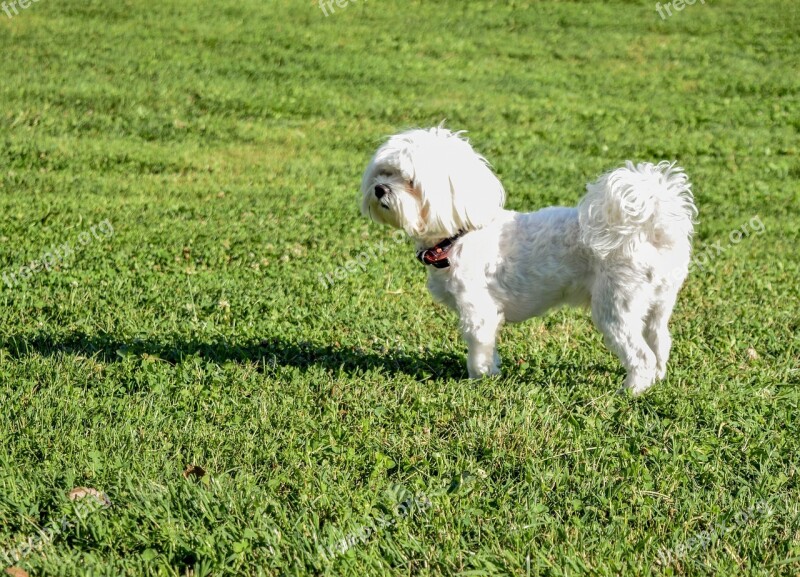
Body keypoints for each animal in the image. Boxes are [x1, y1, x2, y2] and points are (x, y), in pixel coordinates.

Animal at [360, 126, 696, 394]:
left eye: (411, 182)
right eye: (384, 172)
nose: (379, 189)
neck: (459, 235)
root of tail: (652, 230)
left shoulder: (477, 311)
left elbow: (478, 350)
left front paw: (480, 380)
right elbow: (490, 346)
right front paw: (493, 371)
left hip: (616, 306)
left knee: (641, 354)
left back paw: (632, 389)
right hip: (658, 303)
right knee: (660, 341)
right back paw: (658, 377)